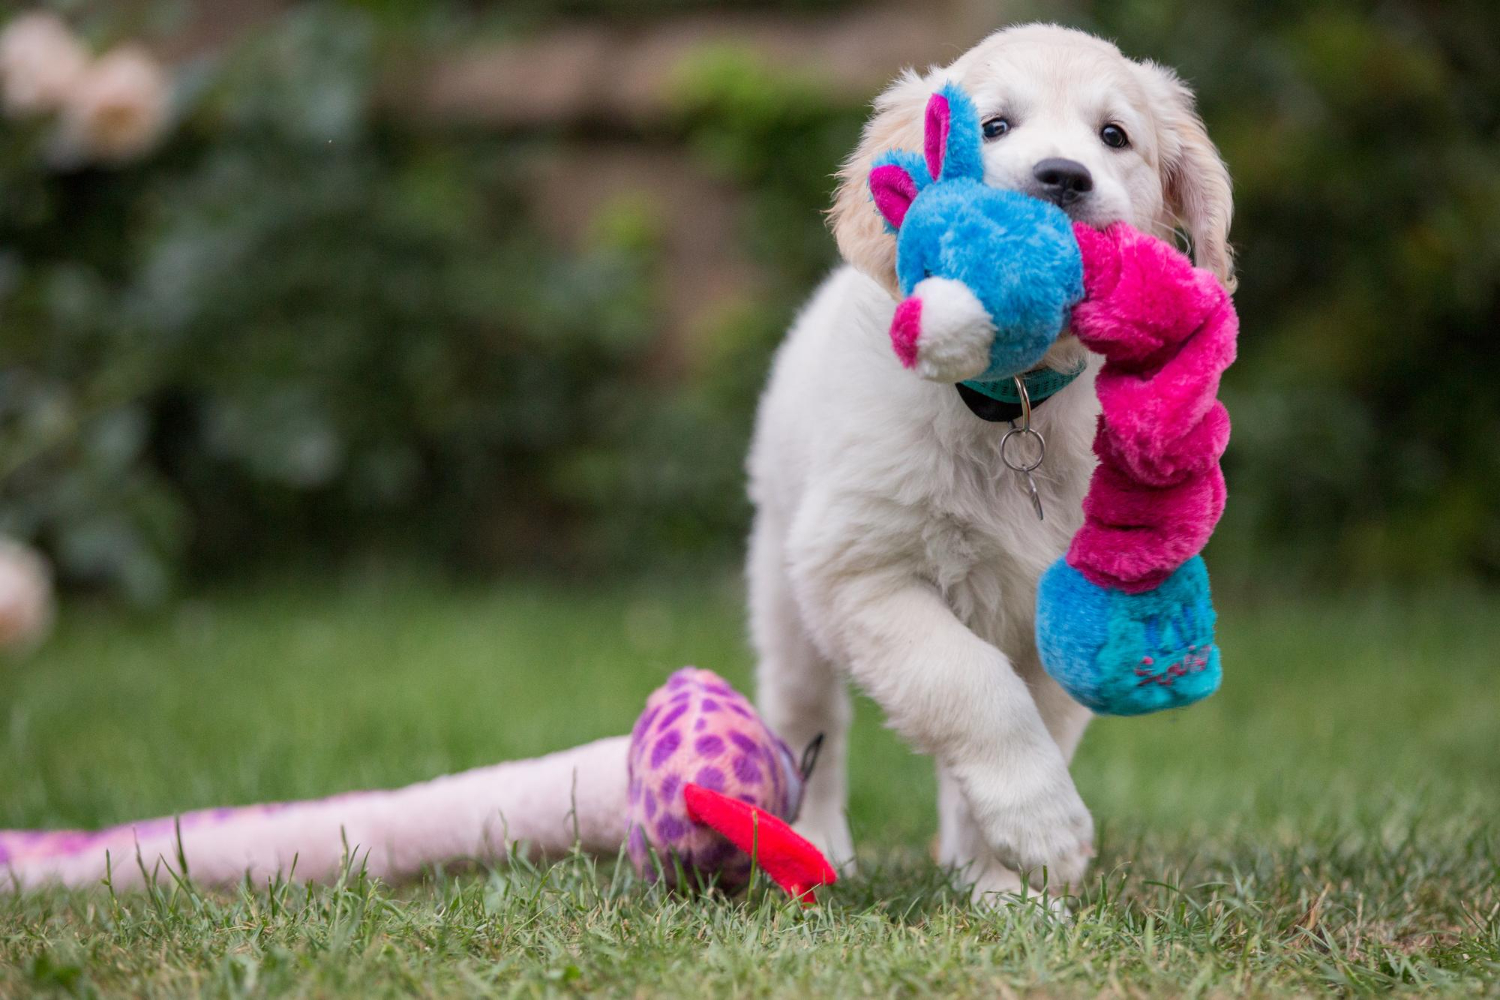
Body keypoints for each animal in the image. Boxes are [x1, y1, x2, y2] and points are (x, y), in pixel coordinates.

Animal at [747, 23, 1230, 905]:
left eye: (1114, 136)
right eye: (995, 125)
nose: (1063, 176)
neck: (1010, 400)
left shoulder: (1054, 608)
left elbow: (1031, 717)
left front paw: (1008, 884)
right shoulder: (859, 574)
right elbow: (969, 685)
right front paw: (1044, 827)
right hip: (784, 592)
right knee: (810, 727)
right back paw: (815, 843)